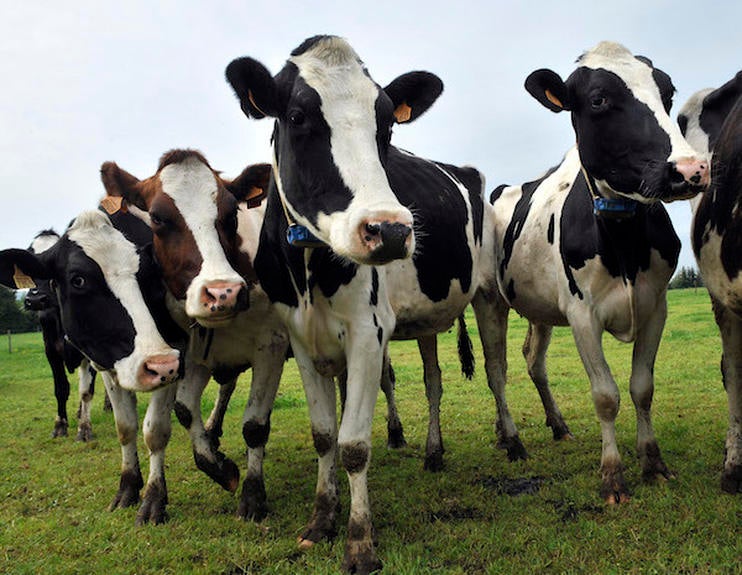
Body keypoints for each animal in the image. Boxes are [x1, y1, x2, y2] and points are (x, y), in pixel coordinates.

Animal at [23, 229, 98, 441]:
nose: (35, 299)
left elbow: (86, 391)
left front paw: (84, 429)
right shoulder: (51, 350)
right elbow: (61, 388)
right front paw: (60, 425)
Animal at [99, 151, 289, 522]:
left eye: (231, 214)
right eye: (157, 217)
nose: (223, 292)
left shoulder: (272, 346)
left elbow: (254, 425)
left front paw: (253, 495)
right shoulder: (192, 352)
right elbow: (185, 410)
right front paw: (219, 466)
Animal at [223, 34, 514, 573]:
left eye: (387, 123)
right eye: (297, 115)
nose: (392, 230)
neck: (310, 270)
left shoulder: (367, 331)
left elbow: (354, 444)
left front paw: (360, 542)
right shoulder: (300, 339)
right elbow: (324, 435)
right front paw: (322, 519)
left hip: (488, 295)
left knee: (496, 370)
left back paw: (513, 440)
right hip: (425, 319)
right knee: (434, 382)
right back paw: (434, 453)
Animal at [487, 41, 709, 504]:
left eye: (667, 91)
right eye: (598, 100)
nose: (690, 169)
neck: (622, 242)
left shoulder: (656, 306)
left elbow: (642, 387)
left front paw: (653, 463)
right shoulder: (581, 315)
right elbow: (605, 395)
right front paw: (612, 476)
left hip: (539, 310)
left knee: (533, 362)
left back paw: (553, 426)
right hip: (490, 300)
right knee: (497, 369)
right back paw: (512, 439)